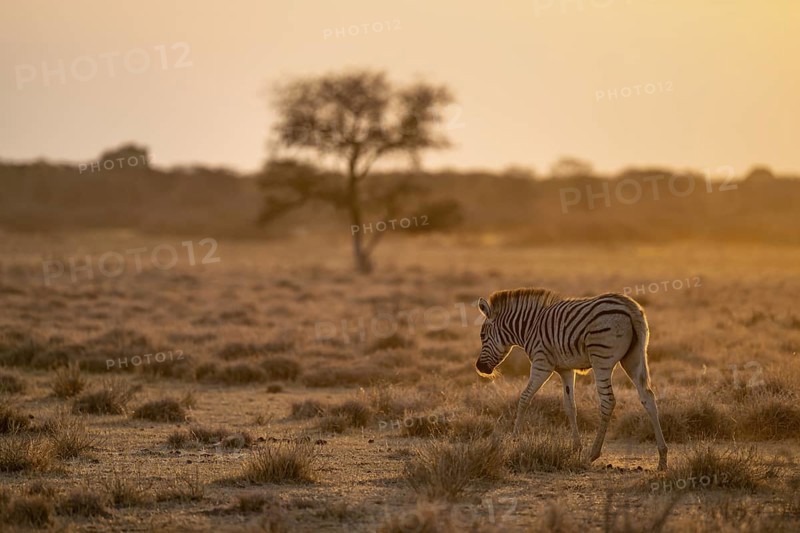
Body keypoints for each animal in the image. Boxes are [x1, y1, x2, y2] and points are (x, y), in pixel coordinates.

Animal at [474, 288, 667, 470]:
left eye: (482, 335)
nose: (479, 368)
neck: (529, 327)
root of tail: (630, 307)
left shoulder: (542, 364)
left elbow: (524, 398)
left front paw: (514, 440)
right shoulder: (566, 370)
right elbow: (570, 406)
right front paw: (576, 447)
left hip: (601, 359)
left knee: (608, 401)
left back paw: (593, 454)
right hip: (633, 358)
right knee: (648, 397)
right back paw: (663, 457)